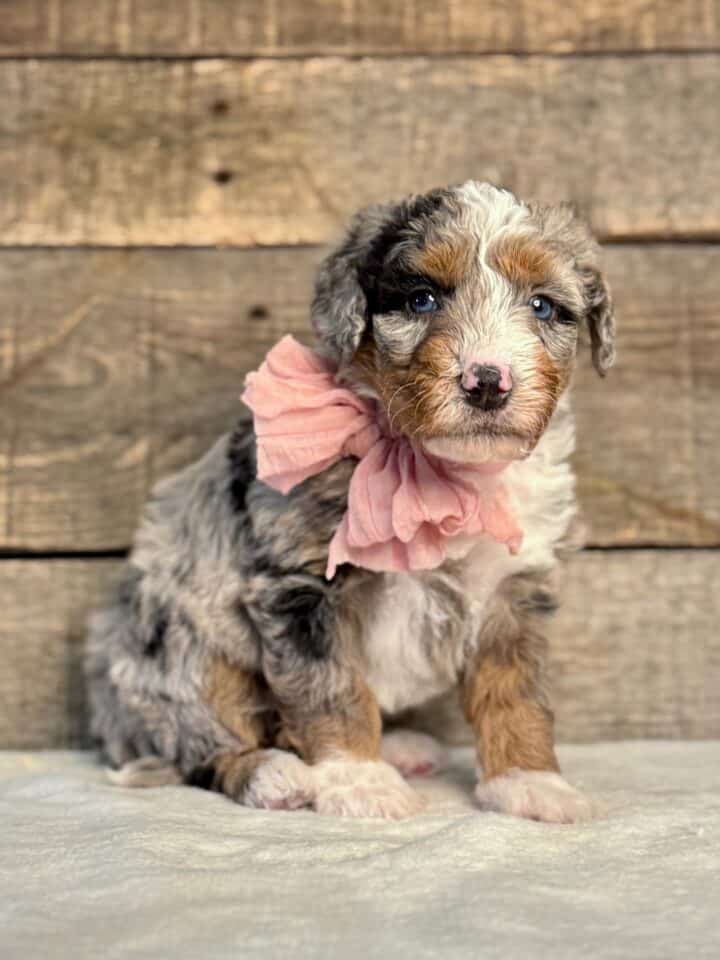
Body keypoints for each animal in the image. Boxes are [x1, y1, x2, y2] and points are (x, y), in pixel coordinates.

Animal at [84, 182, 612, 824]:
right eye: (421, 299)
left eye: (542, 307)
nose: (487, 381)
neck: (436, 468)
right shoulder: (301, 586)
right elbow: (330, 687)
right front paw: (360, 781)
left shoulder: (513, 591)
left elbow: (517, 692)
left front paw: (530, 782)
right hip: (177, 653)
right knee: (204, 743)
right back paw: (274, 775)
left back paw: (400, 747)